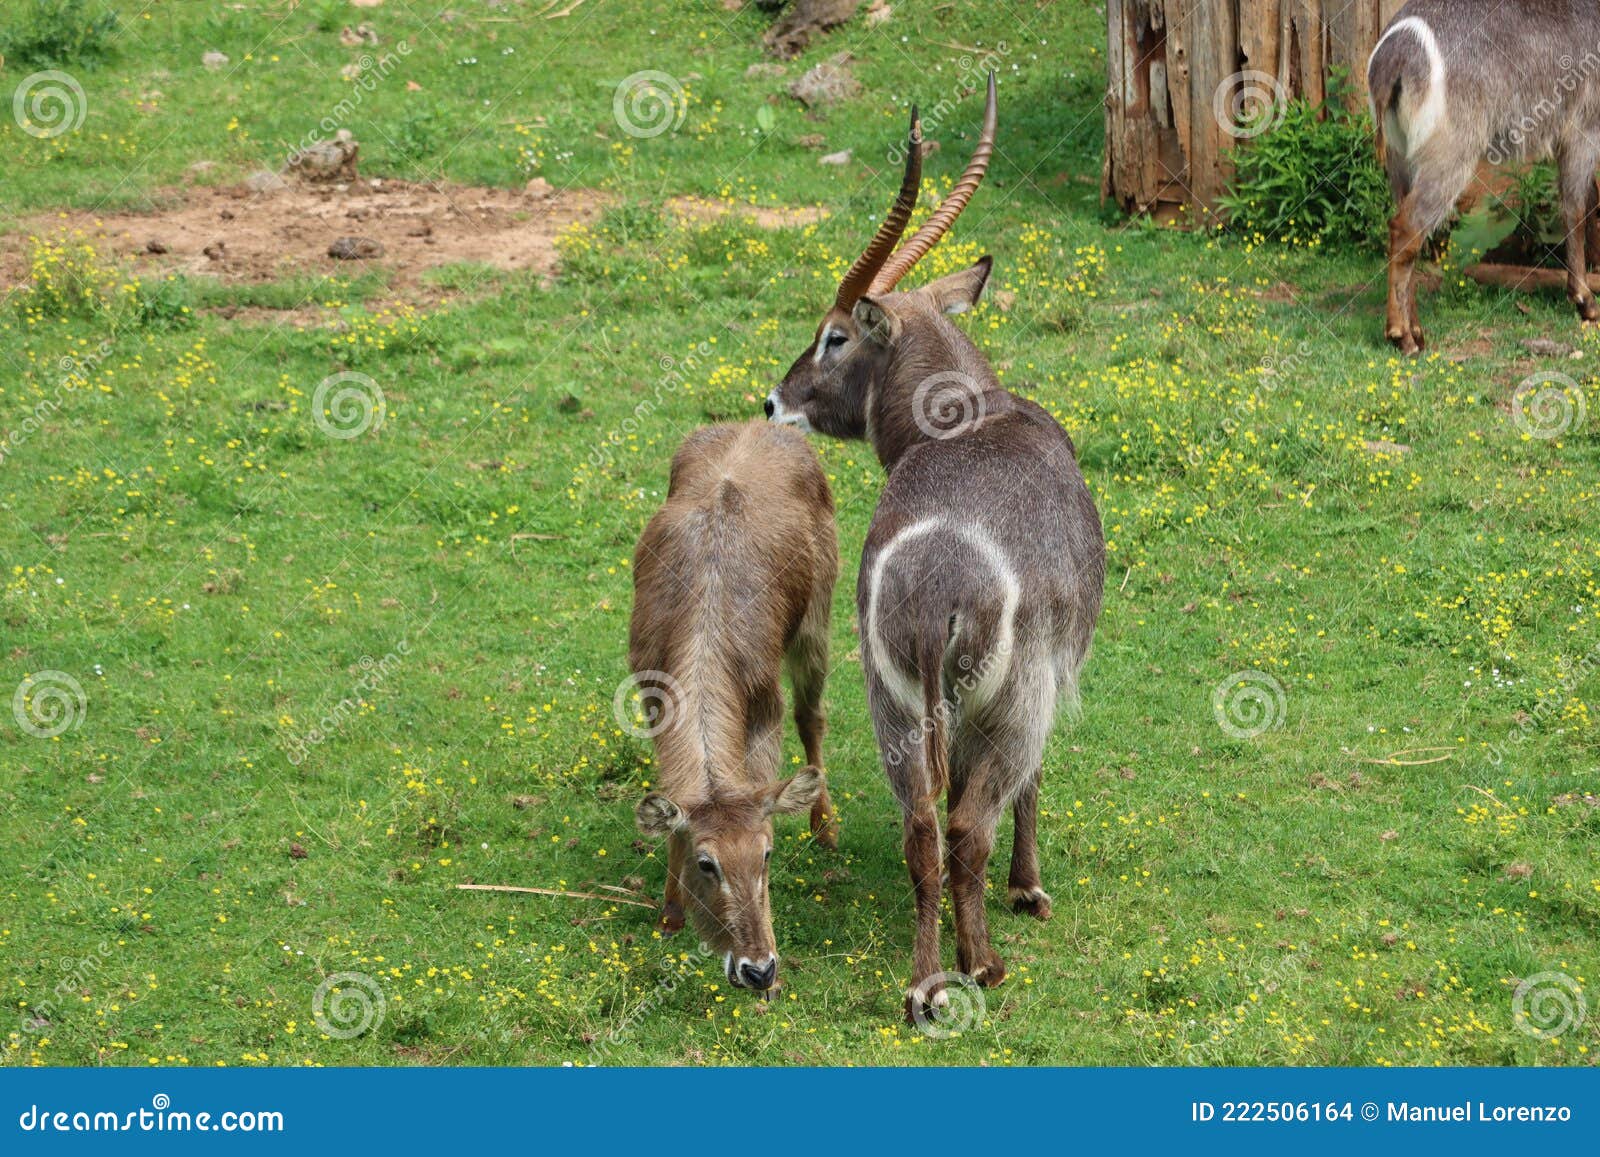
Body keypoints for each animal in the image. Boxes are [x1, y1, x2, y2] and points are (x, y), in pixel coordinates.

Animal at [624, 422, 838, 998]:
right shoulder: (649, 691)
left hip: (817, 616)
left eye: (766, 854)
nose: (759, 968)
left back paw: (826, 827)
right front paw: (670, 912)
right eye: (706, 863)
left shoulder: (766, 702)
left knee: (813, 716)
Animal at [768, 74, 1107, 1024]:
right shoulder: (1051, 682)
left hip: (891, 702)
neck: (967, 412)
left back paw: (924, 980)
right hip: (1008, 699)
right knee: (966, 824)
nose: (774, 401)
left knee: (923, 825)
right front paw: (1030, 889)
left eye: (835, 334)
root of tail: (935, 590)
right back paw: (980, 964)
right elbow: (1031, 784)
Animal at [1369, 0, 1600, 353]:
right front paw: (1585, 301)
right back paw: (1401, 335)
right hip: (1450, 155)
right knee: (1405, 228)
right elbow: (1576, 210)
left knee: (1408, 234)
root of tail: (1397, 50)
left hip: (1400, 160)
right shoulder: (1583, 128)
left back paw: (1416, 332)